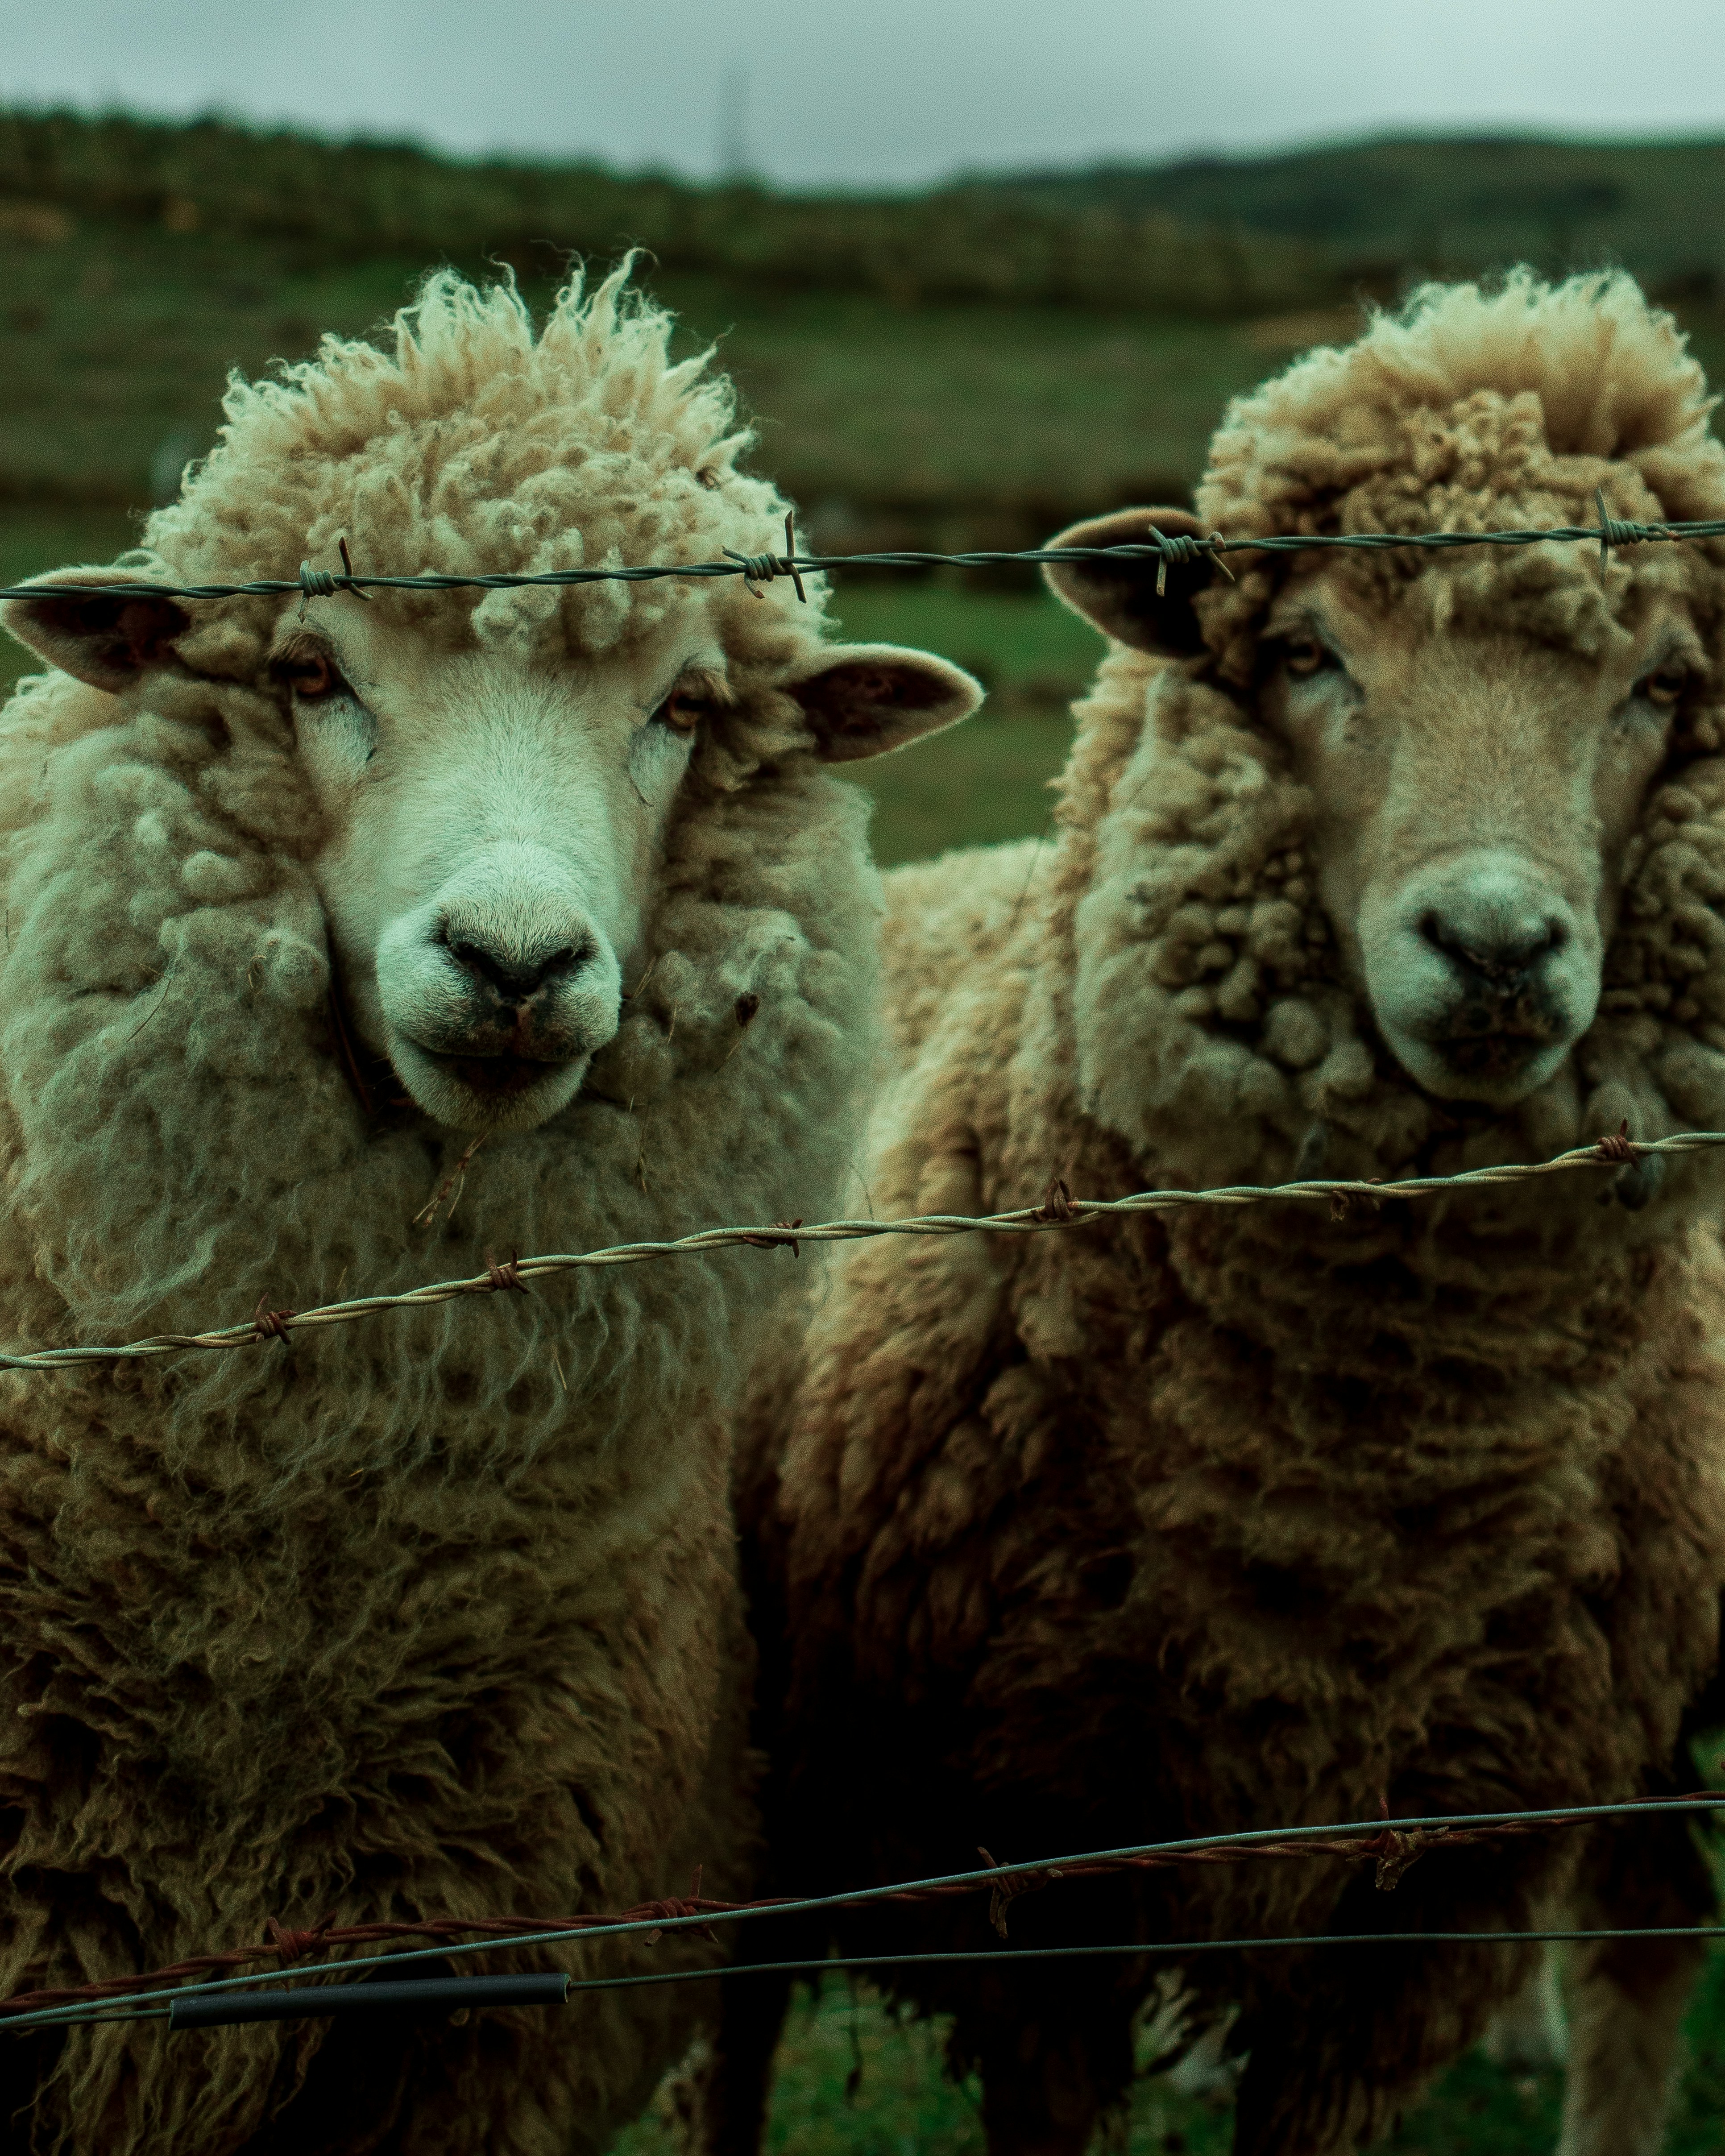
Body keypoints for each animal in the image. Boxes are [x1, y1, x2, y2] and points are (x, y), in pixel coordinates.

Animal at [713, 270, 1725, 2156]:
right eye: (1307, 652)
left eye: (1660, 685)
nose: (1495, 948)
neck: (1353, 1486)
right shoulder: (1037, 1862)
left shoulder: (1424, 1895)